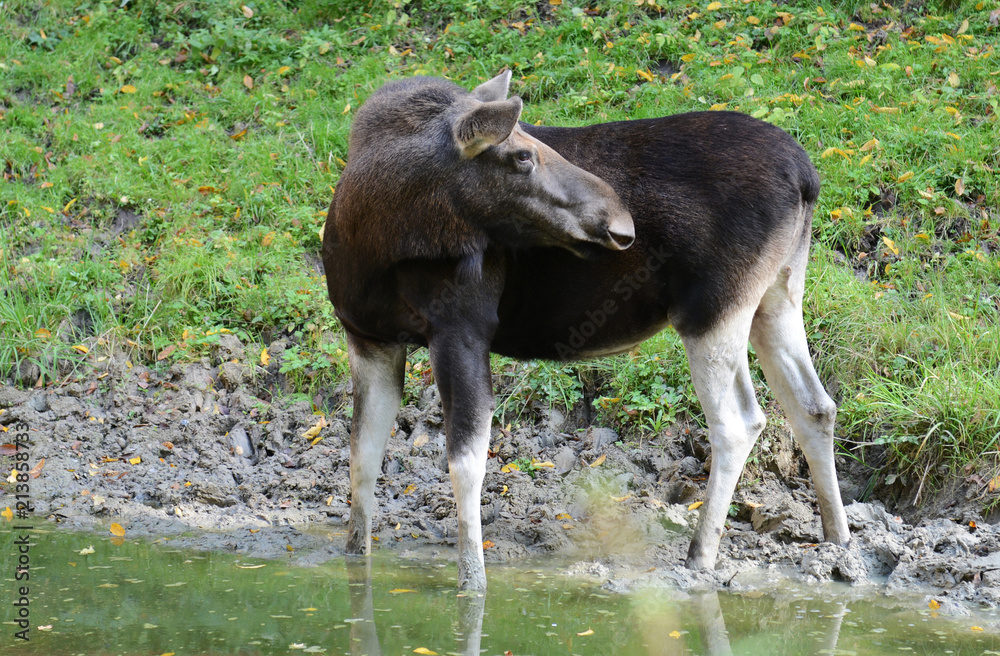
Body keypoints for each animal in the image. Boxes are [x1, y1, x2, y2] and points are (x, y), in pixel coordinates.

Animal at [322, 70, 850, 590]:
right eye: (521, 155)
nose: (619, 219)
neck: (372, 241)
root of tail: (808, 178)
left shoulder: (462, 329)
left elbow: (465, 463)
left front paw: (473, 579)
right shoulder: (367, 338)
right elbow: (361, 456)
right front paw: (355, 558)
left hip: (713, 309)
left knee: (740, 421)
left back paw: (701, 556)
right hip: (777, 294)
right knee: (814, 405)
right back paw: (837, 540)